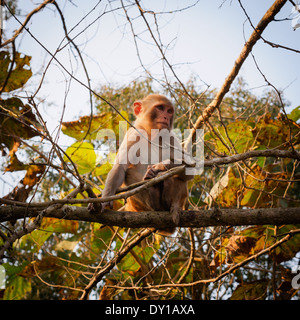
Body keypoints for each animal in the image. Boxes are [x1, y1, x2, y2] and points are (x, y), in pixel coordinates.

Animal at [89, 94, 192, 234]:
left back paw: (172, 205)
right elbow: (120, 168)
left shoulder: (170, 137)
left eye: (169, 111)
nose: (166, 117)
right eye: (160, 108)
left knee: (175, 176)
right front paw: (104, 200)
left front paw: (159, 167)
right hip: (140, 206)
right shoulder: (133, 134)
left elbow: (191, 168)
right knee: (129, 174)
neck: (150, 134)